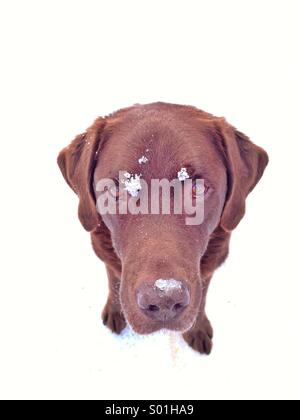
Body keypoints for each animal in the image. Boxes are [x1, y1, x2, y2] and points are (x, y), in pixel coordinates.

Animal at [57, 102, 268, 354]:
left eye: (198, 188)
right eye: (116, 189)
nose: (163, 299)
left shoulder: (211, 262)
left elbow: (202, 295)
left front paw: (197, 330)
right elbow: (114, 277)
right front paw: (115, 312)